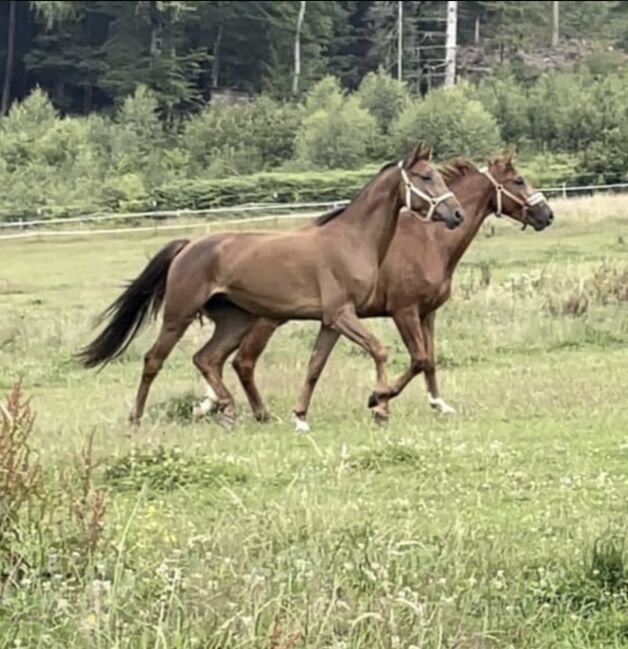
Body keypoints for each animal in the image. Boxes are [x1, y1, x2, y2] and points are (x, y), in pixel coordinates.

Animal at [78, 143, 465, 426]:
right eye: (427, 176)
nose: (457, 214)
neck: (352, 240)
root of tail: (188, 246)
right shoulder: (343, 314)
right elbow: (382, 350)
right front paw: (379, 401)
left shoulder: (332, 321)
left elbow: (315, 366)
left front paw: (301, 417)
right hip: (179, 315)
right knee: (154, 360)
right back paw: (137, 417)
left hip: (235, 320)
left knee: (208, 359)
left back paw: (231, 407)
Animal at [193, 152, 554, 431]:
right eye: (519, 181)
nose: (547, 214)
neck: (430, 241)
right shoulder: (403, 311)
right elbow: (418, 359)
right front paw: (378, 402)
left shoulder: (427, 313)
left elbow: (431, 361)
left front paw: (438, 403)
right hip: (265, 320)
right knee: (241, 362)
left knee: (226, 361)